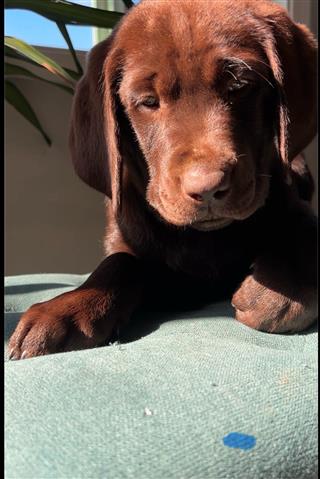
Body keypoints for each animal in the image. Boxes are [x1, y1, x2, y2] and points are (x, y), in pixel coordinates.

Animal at [9, 0, 318, 360]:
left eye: (240, 87)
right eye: (148, 102)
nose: (207, 189)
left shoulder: (293, 205)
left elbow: (304, 228)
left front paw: (282, 287)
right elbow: (120, 261)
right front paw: (65, 308)